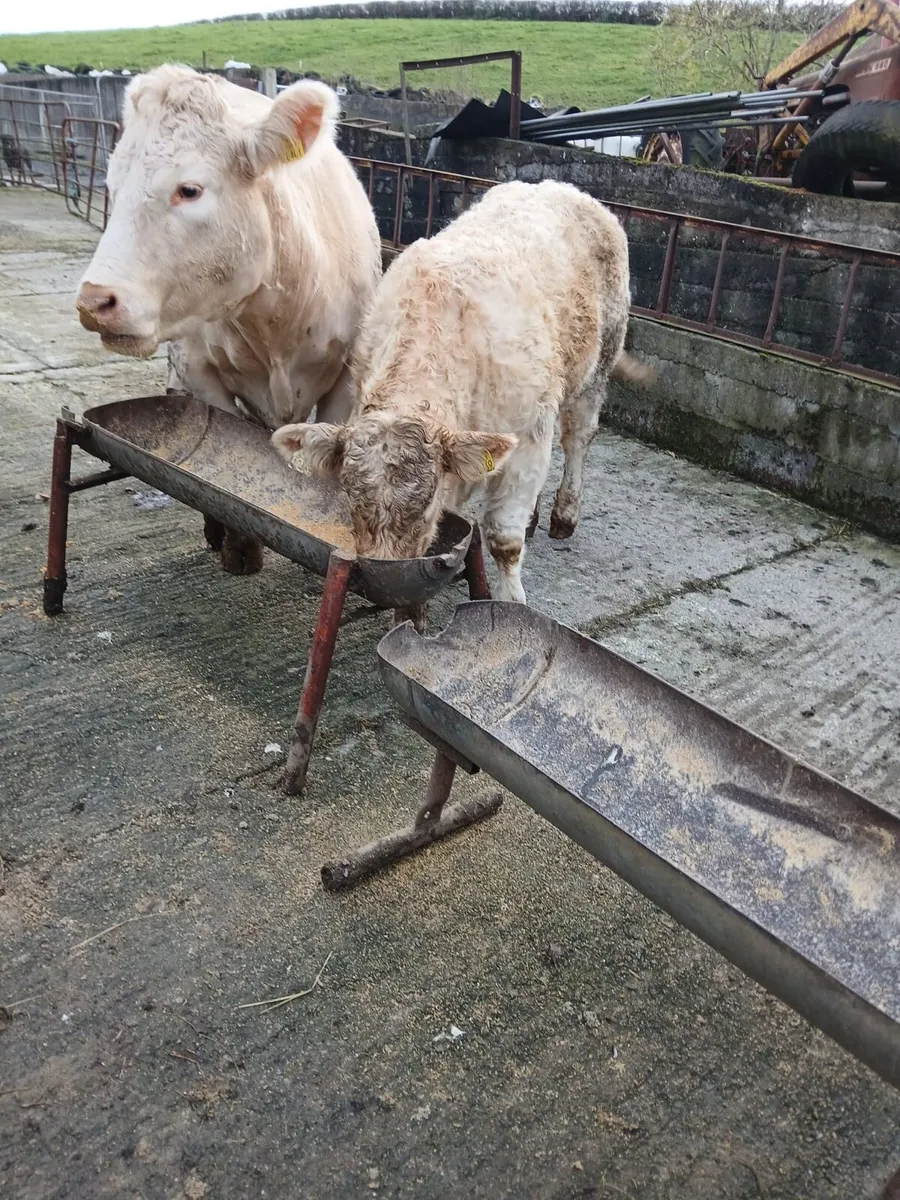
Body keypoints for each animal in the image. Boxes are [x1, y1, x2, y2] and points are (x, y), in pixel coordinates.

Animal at [75, 64, 381, 574]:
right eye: (111, 188)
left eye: (189, 189)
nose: (94, 301)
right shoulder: (199, 371)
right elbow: (221, 454)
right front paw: (240, 543)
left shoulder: (347, 379)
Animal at [271, 179, 650, 611]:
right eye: (351, 501)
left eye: (424, 505)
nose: (382, 576)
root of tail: (563, 188)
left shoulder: (528, 433)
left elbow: (503, 538)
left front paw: (510, 601)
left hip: (597, 366)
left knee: (577, 439)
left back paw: (564, 514)